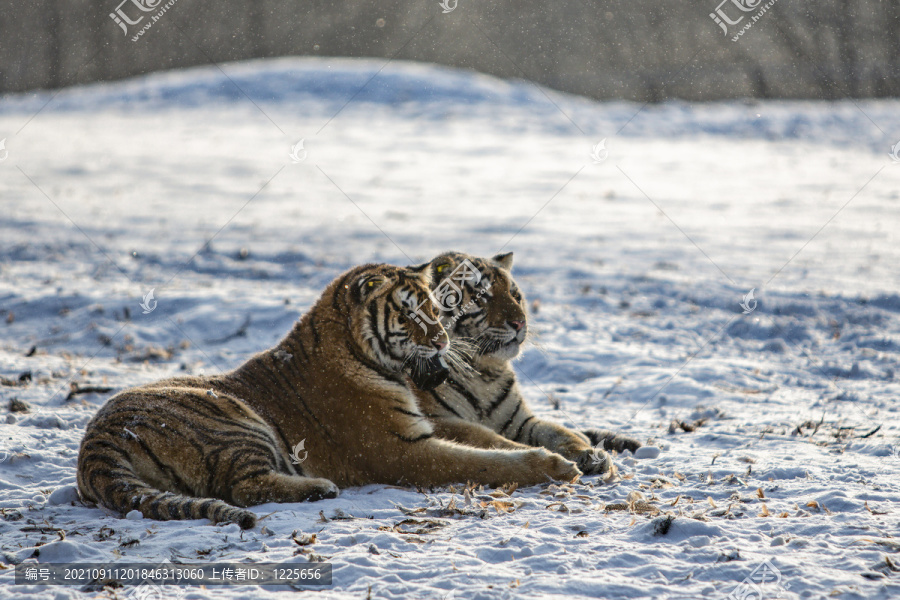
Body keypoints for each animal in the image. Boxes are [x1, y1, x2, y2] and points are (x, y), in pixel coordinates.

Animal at [410, 251, 640, 476]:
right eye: (481, 296)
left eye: (515, 295)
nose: (520, 323)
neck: (483, 372)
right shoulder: (437, 419)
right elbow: (485, 437)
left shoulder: (520, 421)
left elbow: (556, 431)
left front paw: (589, 454)